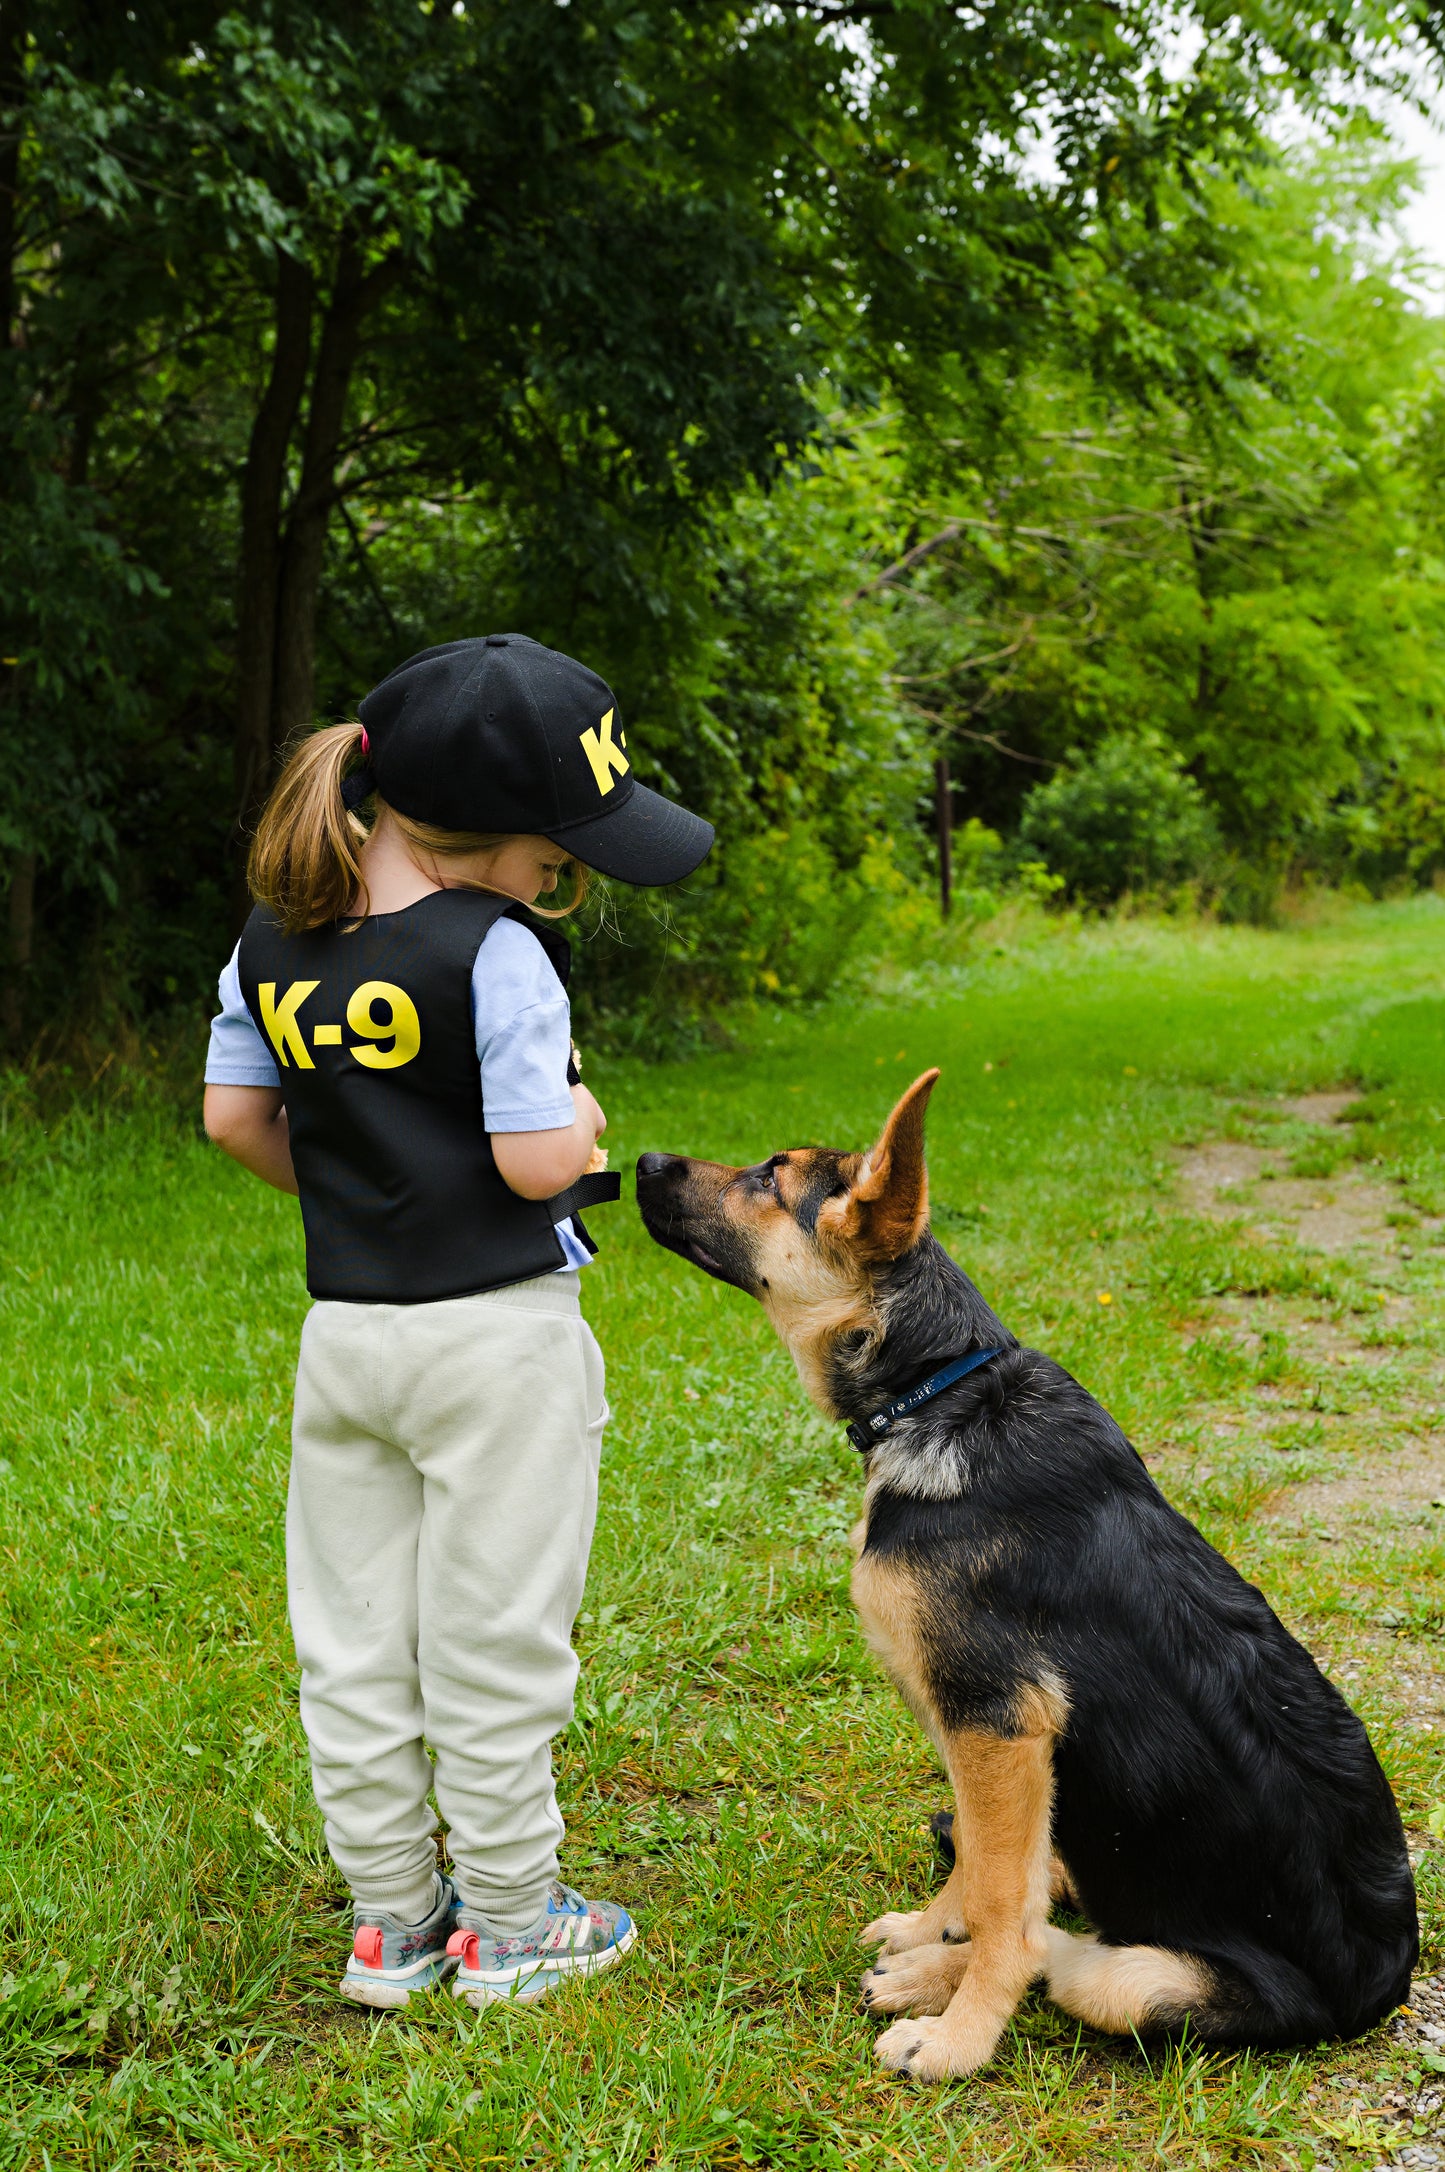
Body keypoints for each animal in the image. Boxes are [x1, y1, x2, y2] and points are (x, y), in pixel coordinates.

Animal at [638, 1077, 1416, 2076]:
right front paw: (934, 1936)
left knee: (1059, 1946)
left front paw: (960, 2037)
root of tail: (1382, 1990)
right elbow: (981, 1861)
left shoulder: (997, 1720)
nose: (640, 1159)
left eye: (771, 1176)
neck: (938, 1389)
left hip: (1151, 1985)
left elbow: (1002, 1904)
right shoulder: (971, 1729)